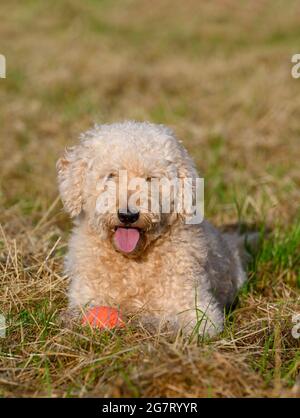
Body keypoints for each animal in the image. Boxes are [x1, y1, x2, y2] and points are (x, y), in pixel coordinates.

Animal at [56, 121, 248, 336]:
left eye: (150, 178)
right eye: (111, 175)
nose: (128, 215)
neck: (132, 264)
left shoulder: (200, 313)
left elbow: (173, 322)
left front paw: (147, 323)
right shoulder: (85, 295)